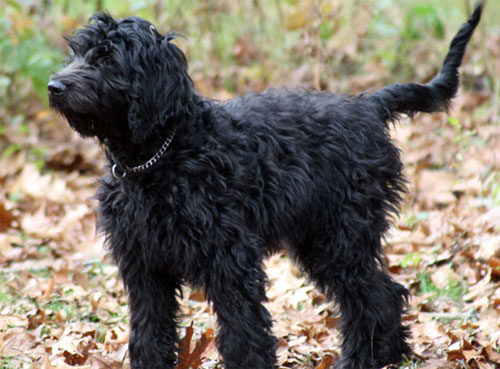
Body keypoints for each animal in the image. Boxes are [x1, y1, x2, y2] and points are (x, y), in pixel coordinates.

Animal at [48, 3, 482, 368]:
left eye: (107, 58)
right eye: (78, 53)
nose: (54, 86)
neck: (161, 157)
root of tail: (368, 104)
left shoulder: (230, 261)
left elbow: (243, 332)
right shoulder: (144, 268)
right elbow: (149, 332)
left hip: (340, 236)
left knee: (375, 296)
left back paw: (362, 359)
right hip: (323, 239)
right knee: (382, 293)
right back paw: (386, 355)